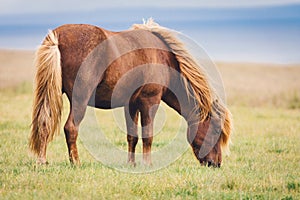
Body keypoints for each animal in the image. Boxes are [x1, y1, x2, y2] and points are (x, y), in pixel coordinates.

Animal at [29, 19, 232, 168]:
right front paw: (147, 164)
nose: (216, 164)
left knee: (44, 122)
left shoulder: (131, 104)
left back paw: (42, 161)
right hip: (80, 99)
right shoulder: (150, 101)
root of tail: (57, 37)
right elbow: (148, 135)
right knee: (71, 128)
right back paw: (76, 163)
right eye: (216, 130)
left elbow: (132, 136)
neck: (163, 58)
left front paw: (131, 164)